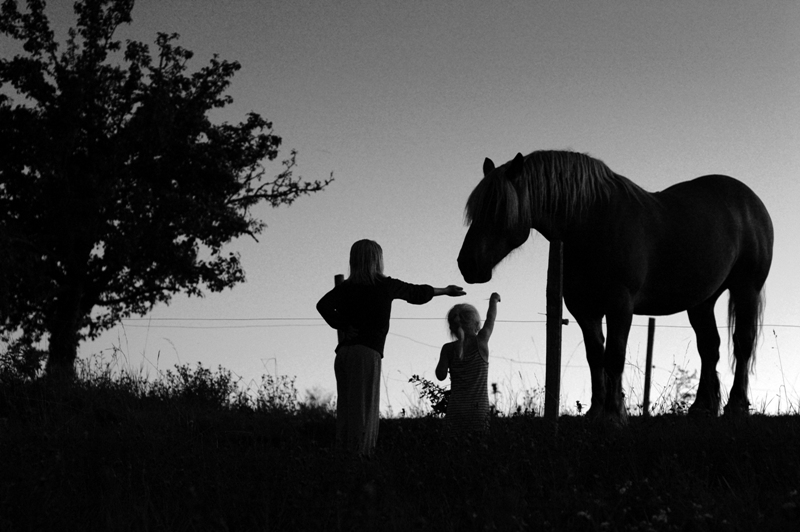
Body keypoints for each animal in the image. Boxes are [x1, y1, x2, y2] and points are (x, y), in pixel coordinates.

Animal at [456, 150, 776, 424]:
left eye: (498, 209)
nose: (466, 265)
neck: (591, 223)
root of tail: (751, 201)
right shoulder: (584, 309)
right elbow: (595, 357)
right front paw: (597, 412)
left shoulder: (620, 304)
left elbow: (614, 356)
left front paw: (613, 416)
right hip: (702, 302)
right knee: (709, 348)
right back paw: (701, 409)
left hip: (745, 289)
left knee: (742, 343)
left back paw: (736, 407)